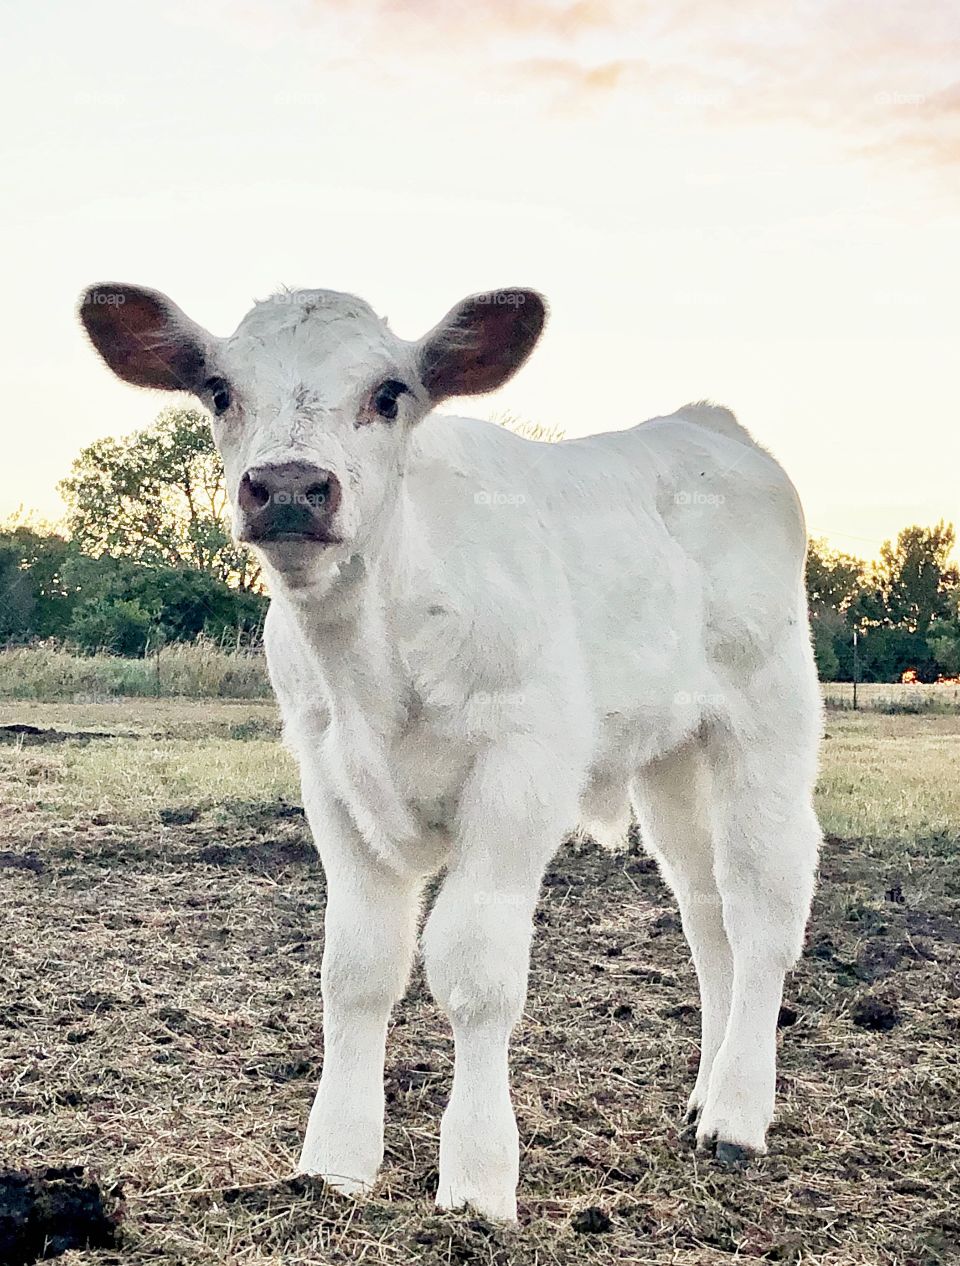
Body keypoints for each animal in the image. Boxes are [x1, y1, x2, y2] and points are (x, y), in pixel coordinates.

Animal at [78, 282, 825, 1220]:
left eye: (389, 392)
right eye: (218, 390)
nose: (288, 487)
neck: (374, 650)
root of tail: (705, 422)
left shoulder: (520, 772)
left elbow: (475, 970)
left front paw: (476, 1181)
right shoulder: (331, 780)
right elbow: (357, 967)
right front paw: (335, 1161)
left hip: (766, 722)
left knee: (762, 908)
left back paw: (736, 1116)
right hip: (673, 760)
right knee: (706, 911)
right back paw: (705, 1094)